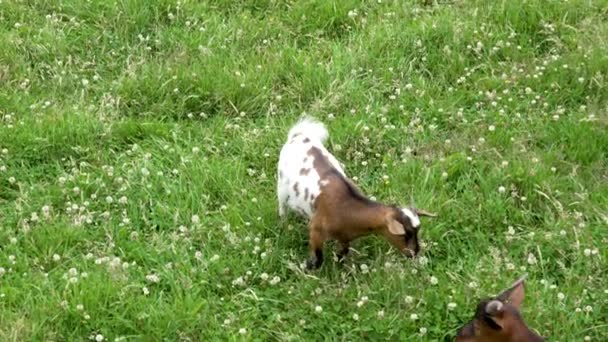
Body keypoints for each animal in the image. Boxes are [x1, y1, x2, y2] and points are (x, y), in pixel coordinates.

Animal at [278, 117, 434, 270]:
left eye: (417, 231)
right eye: (405, 234)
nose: (414, 253)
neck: (348, 206)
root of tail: (299, 135)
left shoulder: (345, 237)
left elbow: (342, 254)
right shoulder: (316, 230)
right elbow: (319, 257)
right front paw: (309, 268)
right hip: (281, 184)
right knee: (282, 204)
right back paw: (283, 223)